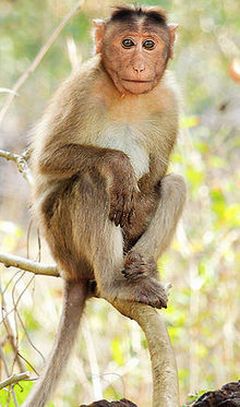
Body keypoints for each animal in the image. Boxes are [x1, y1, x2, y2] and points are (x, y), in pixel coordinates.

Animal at [23, 5, 187, 407]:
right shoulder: (81, 88)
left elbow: (156, 177)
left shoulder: (169, 100)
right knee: (92, 183)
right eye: (127, 43)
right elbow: (47, 160)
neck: (127, 96)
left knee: (174, 184)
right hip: (64, 241)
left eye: (149, 44)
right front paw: (119, 165)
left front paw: (143, 262)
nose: (139, 65)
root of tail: (69, 271)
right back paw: (116, 283)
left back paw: (141, 267)